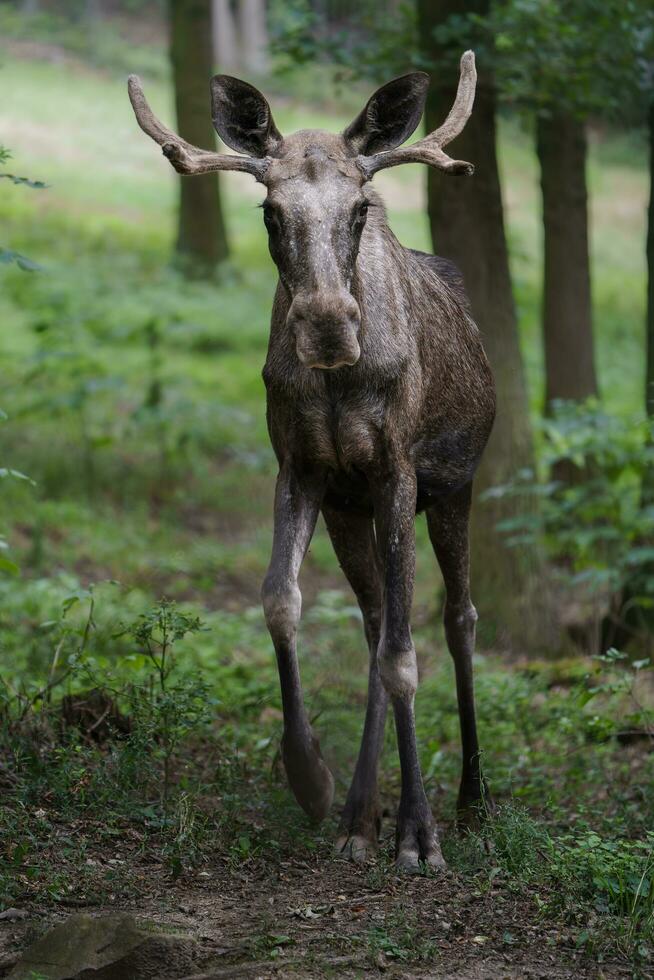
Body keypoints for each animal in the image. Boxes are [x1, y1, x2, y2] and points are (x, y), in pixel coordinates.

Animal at [128, 49, 498, 868]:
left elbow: (405, 655)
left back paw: (472, 798)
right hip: (349, 511)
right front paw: (311, 779)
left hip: (455, 487)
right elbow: (280, 600)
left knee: (456, 618)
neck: (335, 386)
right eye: (271, 213)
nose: (329, 326)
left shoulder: (398, 475)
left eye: (360, 210)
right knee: (375, 621)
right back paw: (360, 813)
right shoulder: (304, 470)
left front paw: (418, 833)